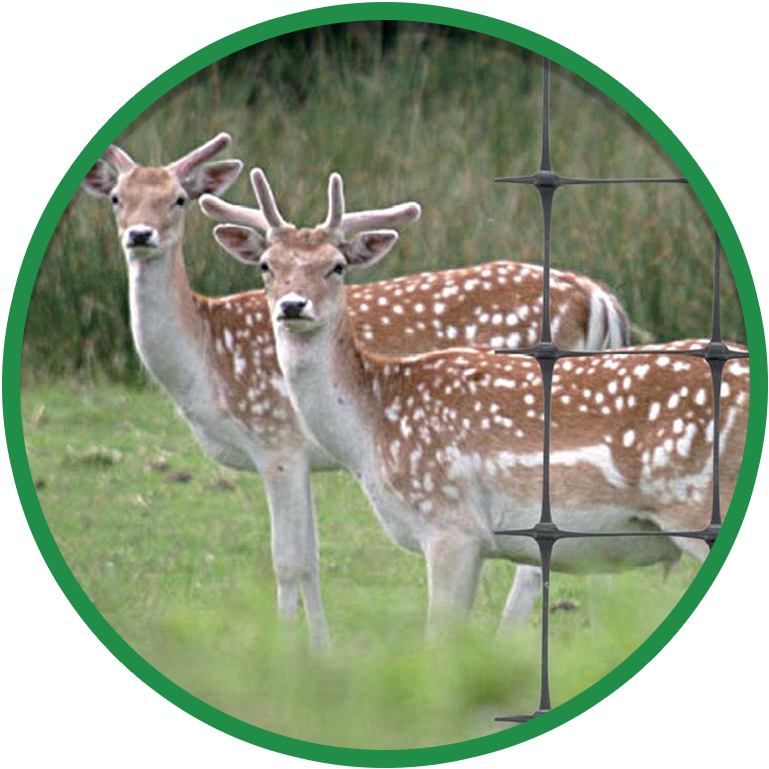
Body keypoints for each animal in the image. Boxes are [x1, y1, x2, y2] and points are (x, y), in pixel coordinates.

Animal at [79, 134, 629, 646]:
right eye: (117, 198)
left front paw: (291, 649)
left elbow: (290, 560)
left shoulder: (276, 440)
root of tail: (598, 296)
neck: (203, 365)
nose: (140, 235)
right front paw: (319, 647)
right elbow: (311, 555)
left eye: (178, 198)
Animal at [211, 168, 750, 634]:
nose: (292, 306)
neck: (372, 430)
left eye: (337, 266)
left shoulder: (451, 524)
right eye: (267, 266)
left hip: (697, 507)